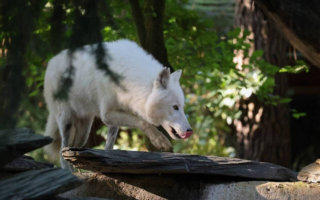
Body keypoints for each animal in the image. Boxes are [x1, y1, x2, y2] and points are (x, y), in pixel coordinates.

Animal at [42, 39, 192, 170]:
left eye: (182, 106)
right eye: (175, 107)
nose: (189, 131)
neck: (129, 80)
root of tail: (51, 62)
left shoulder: (115, 117)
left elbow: (109, 147)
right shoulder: (107, 115)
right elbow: (144, 123)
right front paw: (159, 140)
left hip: (83, 132)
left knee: (70, 150)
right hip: (66, 120)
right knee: (62, 152)